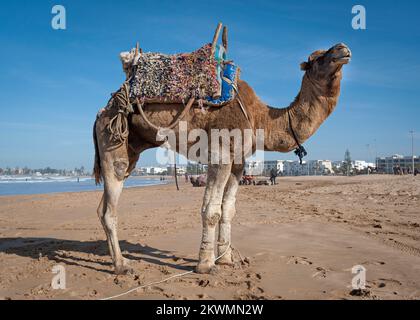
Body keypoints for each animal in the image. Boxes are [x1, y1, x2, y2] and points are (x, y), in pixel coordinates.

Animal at [92, 42, 352, 274]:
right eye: (316, 58)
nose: (343, 49)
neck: (259, 118)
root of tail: (101, 112)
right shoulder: (221, 154)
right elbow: (211, 211)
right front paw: (206, 265)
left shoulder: (238, 163)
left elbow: (228, 210)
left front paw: (226, 259)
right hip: (112, 138)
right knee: (110, 206)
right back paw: (121, 266)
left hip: (130, 148)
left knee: (103, 206)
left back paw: (117, 259)